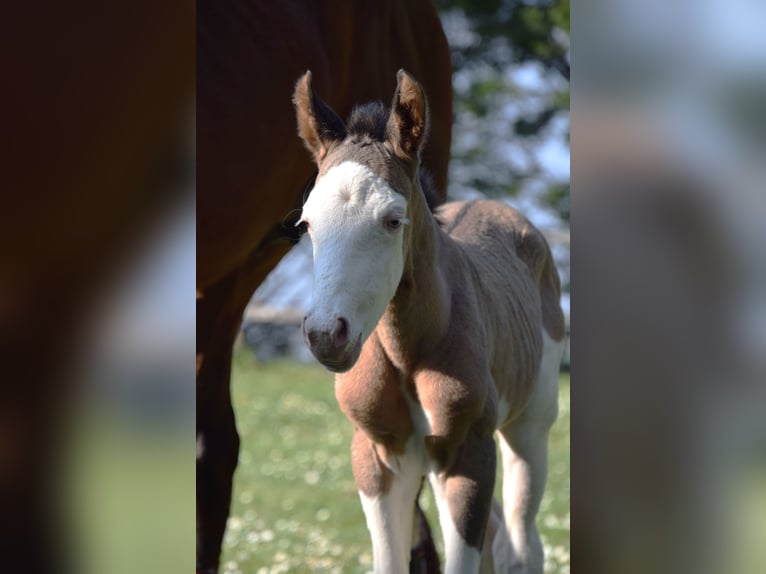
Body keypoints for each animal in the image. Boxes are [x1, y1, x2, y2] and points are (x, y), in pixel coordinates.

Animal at [293, 70, 565, 574]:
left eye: (391, 219)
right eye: (306, 224)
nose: (326, 334)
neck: (408, 351)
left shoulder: (467, 453)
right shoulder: (376, 456)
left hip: (530, 426)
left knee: (520, 544)